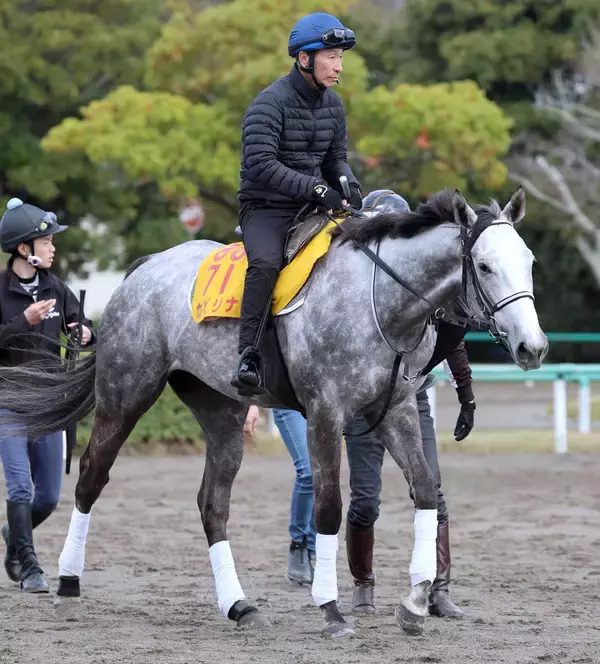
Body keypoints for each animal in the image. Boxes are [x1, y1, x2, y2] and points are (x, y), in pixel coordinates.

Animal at [0, 187, 548, 638]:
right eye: (484, 266)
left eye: (528, 261)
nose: (534, 347)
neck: (378, 298)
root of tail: (147, 268)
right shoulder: (326, 414)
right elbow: (328, 507)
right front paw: (331, 610)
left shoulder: (396, 411)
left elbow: (426, 492)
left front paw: (415, 602)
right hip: (125, 393)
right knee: (91, 478)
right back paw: (68, 583)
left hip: (220, 410)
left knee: (212, 504)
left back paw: (238, 605)